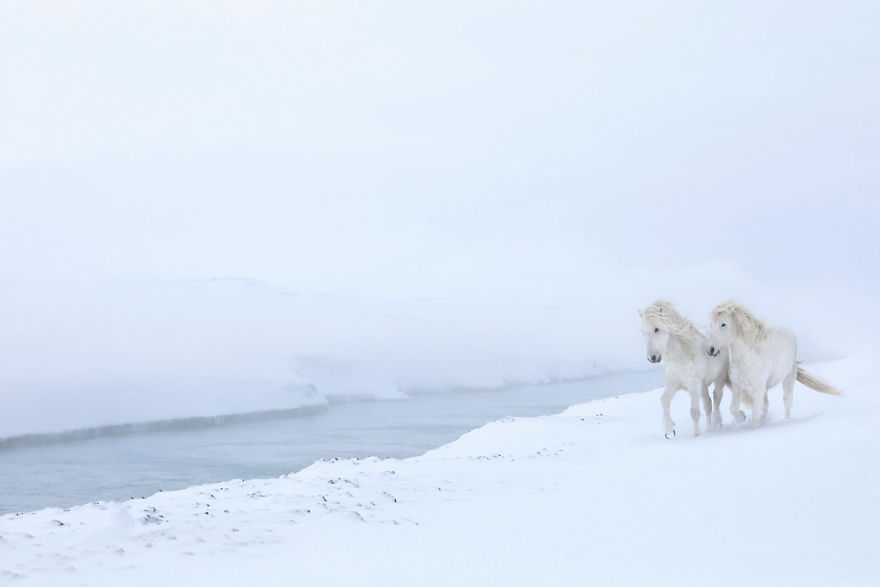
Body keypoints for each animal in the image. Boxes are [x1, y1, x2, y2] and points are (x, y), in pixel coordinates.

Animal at [640, 300, 731, 438]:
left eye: (656, 329)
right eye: (643, 332)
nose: (652, 358)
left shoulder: (693, 386)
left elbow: (694, 412)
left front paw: (696, 435)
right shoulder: (673, 384)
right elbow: (664, 400)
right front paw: (669, 429)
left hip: (719, 378)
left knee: (717, 397)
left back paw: (717, 423)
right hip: (703, 385)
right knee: (708, 404)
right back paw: (709, 428)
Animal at [707, 301, 841, 426]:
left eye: (723, 324)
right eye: (710, 325)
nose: (711, 349)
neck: (748, 358)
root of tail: (789, 332)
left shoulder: (758, 390)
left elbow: (755, 416)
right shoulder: (738, 387)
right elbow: (733, 408)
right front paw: (742, 417)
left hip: (788, 377)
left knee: (787, 400)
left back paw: (787, 420)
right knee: (766, 405)